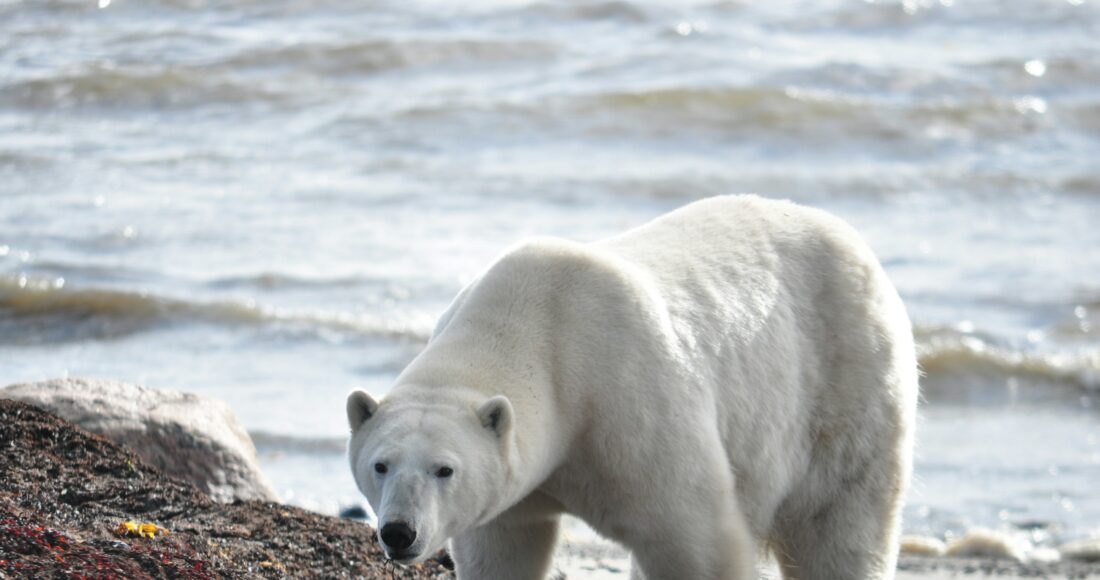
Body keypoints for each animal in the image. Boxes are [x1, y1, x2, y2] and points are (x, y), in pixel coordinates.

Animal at [347, 194, 918, 580]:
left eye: (445, 469)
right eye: (380, 465)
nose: (399, 532)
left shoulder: (628, 407)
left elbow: (694, 538)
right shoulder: (518, 488)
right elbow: (504, 549)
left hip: (844, 385)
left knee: (838, 527)